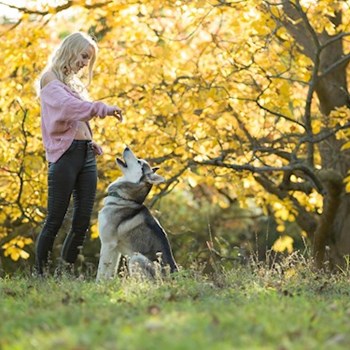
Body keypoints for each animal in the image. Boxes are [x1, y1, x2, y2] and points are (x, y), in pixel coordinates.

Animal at [95, 146, 178, 280]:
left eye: (139, 162)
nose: (126, 147)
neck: (124, 199)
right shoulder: (115, 249)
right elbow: (110, 272)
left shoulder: (108, 244)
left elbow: (101, 272)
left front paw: (98, 284)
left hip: (136, 258)